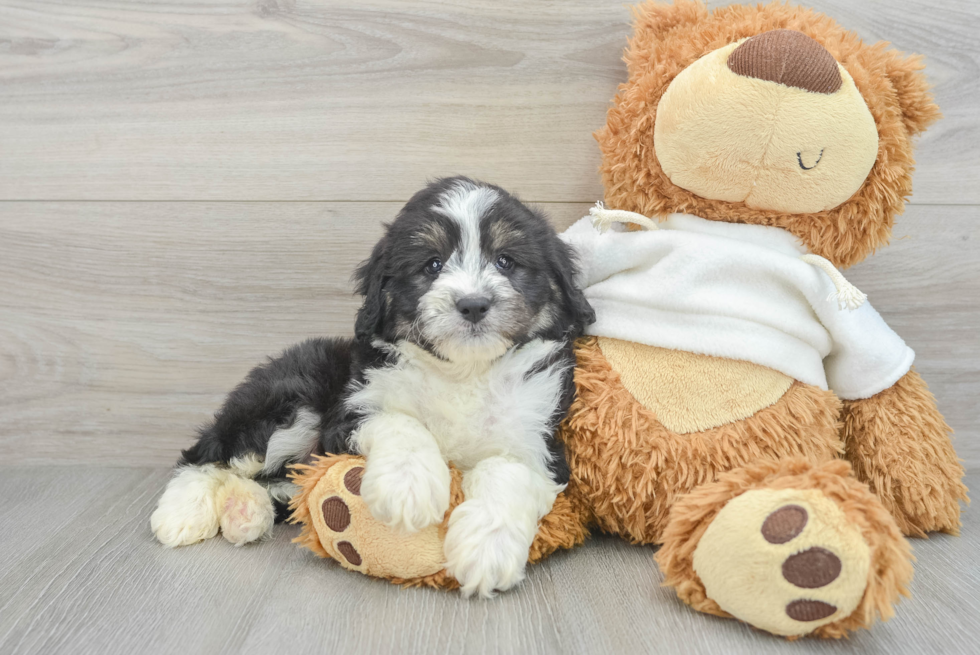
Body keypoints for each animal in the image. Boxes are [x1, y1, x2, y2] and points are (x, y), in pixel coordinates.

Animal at [151, 177, 596, 596]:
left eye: (506, 261)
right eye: (432, 264)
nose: (472, 304)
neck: (463, 372)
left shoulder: (538, 439)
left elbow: (507, 471)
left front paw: (486, 550)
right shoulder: (351, 410)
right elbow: (402, 423)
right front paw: (409, 488)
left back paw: (244, 510)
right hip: (291, 402)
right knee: (209, 455)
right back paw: (183, 513)